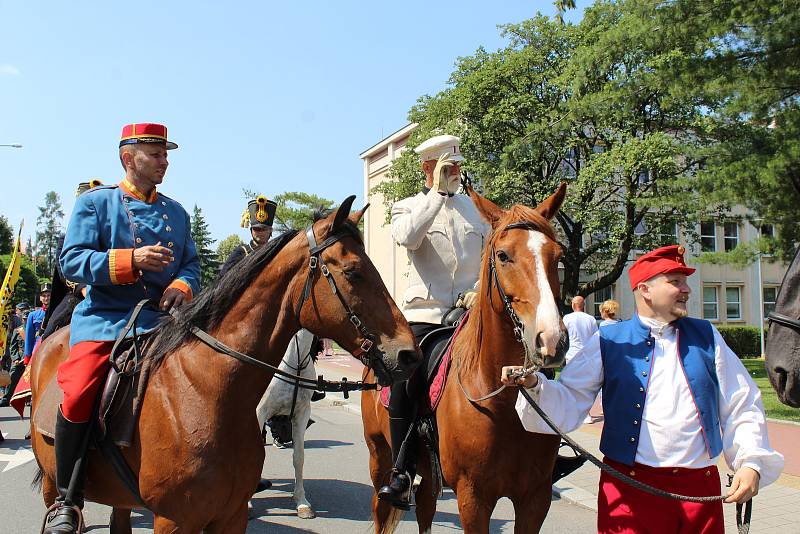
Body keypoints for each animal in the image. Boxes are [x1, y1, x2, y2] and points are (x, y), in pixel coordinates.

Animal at [360, 185, 572, 534]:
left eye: (557, 256)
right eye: (503, 255)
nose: (552, 339)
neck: (502, 401)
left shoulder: (535, 498)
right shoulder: (473, 498)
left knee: (425, 509)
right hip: (380, 457)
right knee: (381, 510)